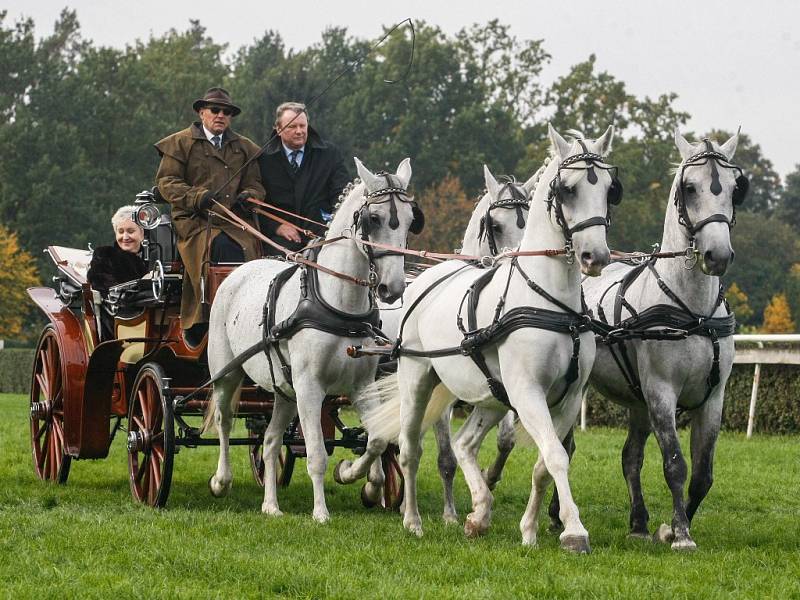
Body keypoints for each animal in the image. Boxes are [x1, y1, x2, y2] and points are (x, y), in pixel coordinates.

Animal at [205, 157, 424, 524]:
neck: (338, 303)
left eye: (410, 220)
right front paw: (321, 512)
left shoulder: (361, 386)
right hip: (227, 373)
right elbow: (318, 454)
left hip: (284, 390)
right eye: (374, 219)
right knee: (224, 420)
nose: (392, 288)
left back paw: (271, 505)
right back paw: (221, 481)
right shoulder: (310, 387)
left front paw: (357, 477)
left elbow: (377, 440)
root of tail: (238, 270)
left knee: (269, 441)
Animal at [366, 124, 616, 552]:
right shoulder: (528, 391)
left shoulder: (568, 399)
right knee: (411, 448)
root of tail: (427, 277)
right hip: (418, 379)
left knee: (465, 444)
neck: (552, 304)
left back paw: (479, 512)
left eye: (609, 189)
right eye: (567, 189)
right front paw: (574, 531)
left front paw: (529, 529)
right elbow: (554, 456)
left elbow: (544, 464)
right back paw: (413, 520)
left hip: (492, 397)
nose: (594, 256)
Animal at [580, 130, 744, 548]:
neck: (693, 311)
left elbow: (703, 474)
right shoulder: (660, 393)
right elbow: (675, 465)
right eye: (689, 188)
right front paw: (681, 533)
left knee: (630, 457)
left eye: (734, 188)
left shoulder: (713, 399)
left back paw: (638, 523)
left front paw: (669, 527)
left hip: (638, 403)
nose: (717, 255)